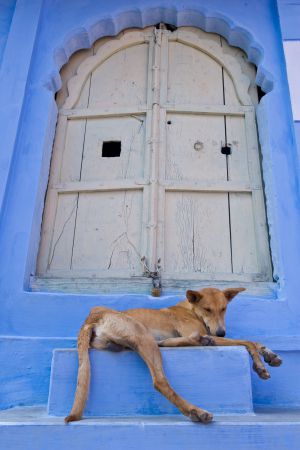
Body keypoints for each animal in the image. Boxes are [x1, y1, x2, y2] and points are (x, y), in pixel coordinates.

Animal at [65, 286, 282, 424]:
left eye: (224, 309)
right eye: (207, 309)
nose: (221, 333)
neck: (191, 309)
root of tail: (92, 317)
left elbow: (254, 341)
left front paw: (269, 355)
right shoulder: (205, 330)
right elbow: (248, 341)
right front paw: (259, 365)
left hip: (130, 342)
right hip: (142, 335)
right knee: (160, 381)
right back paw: (195, 411)